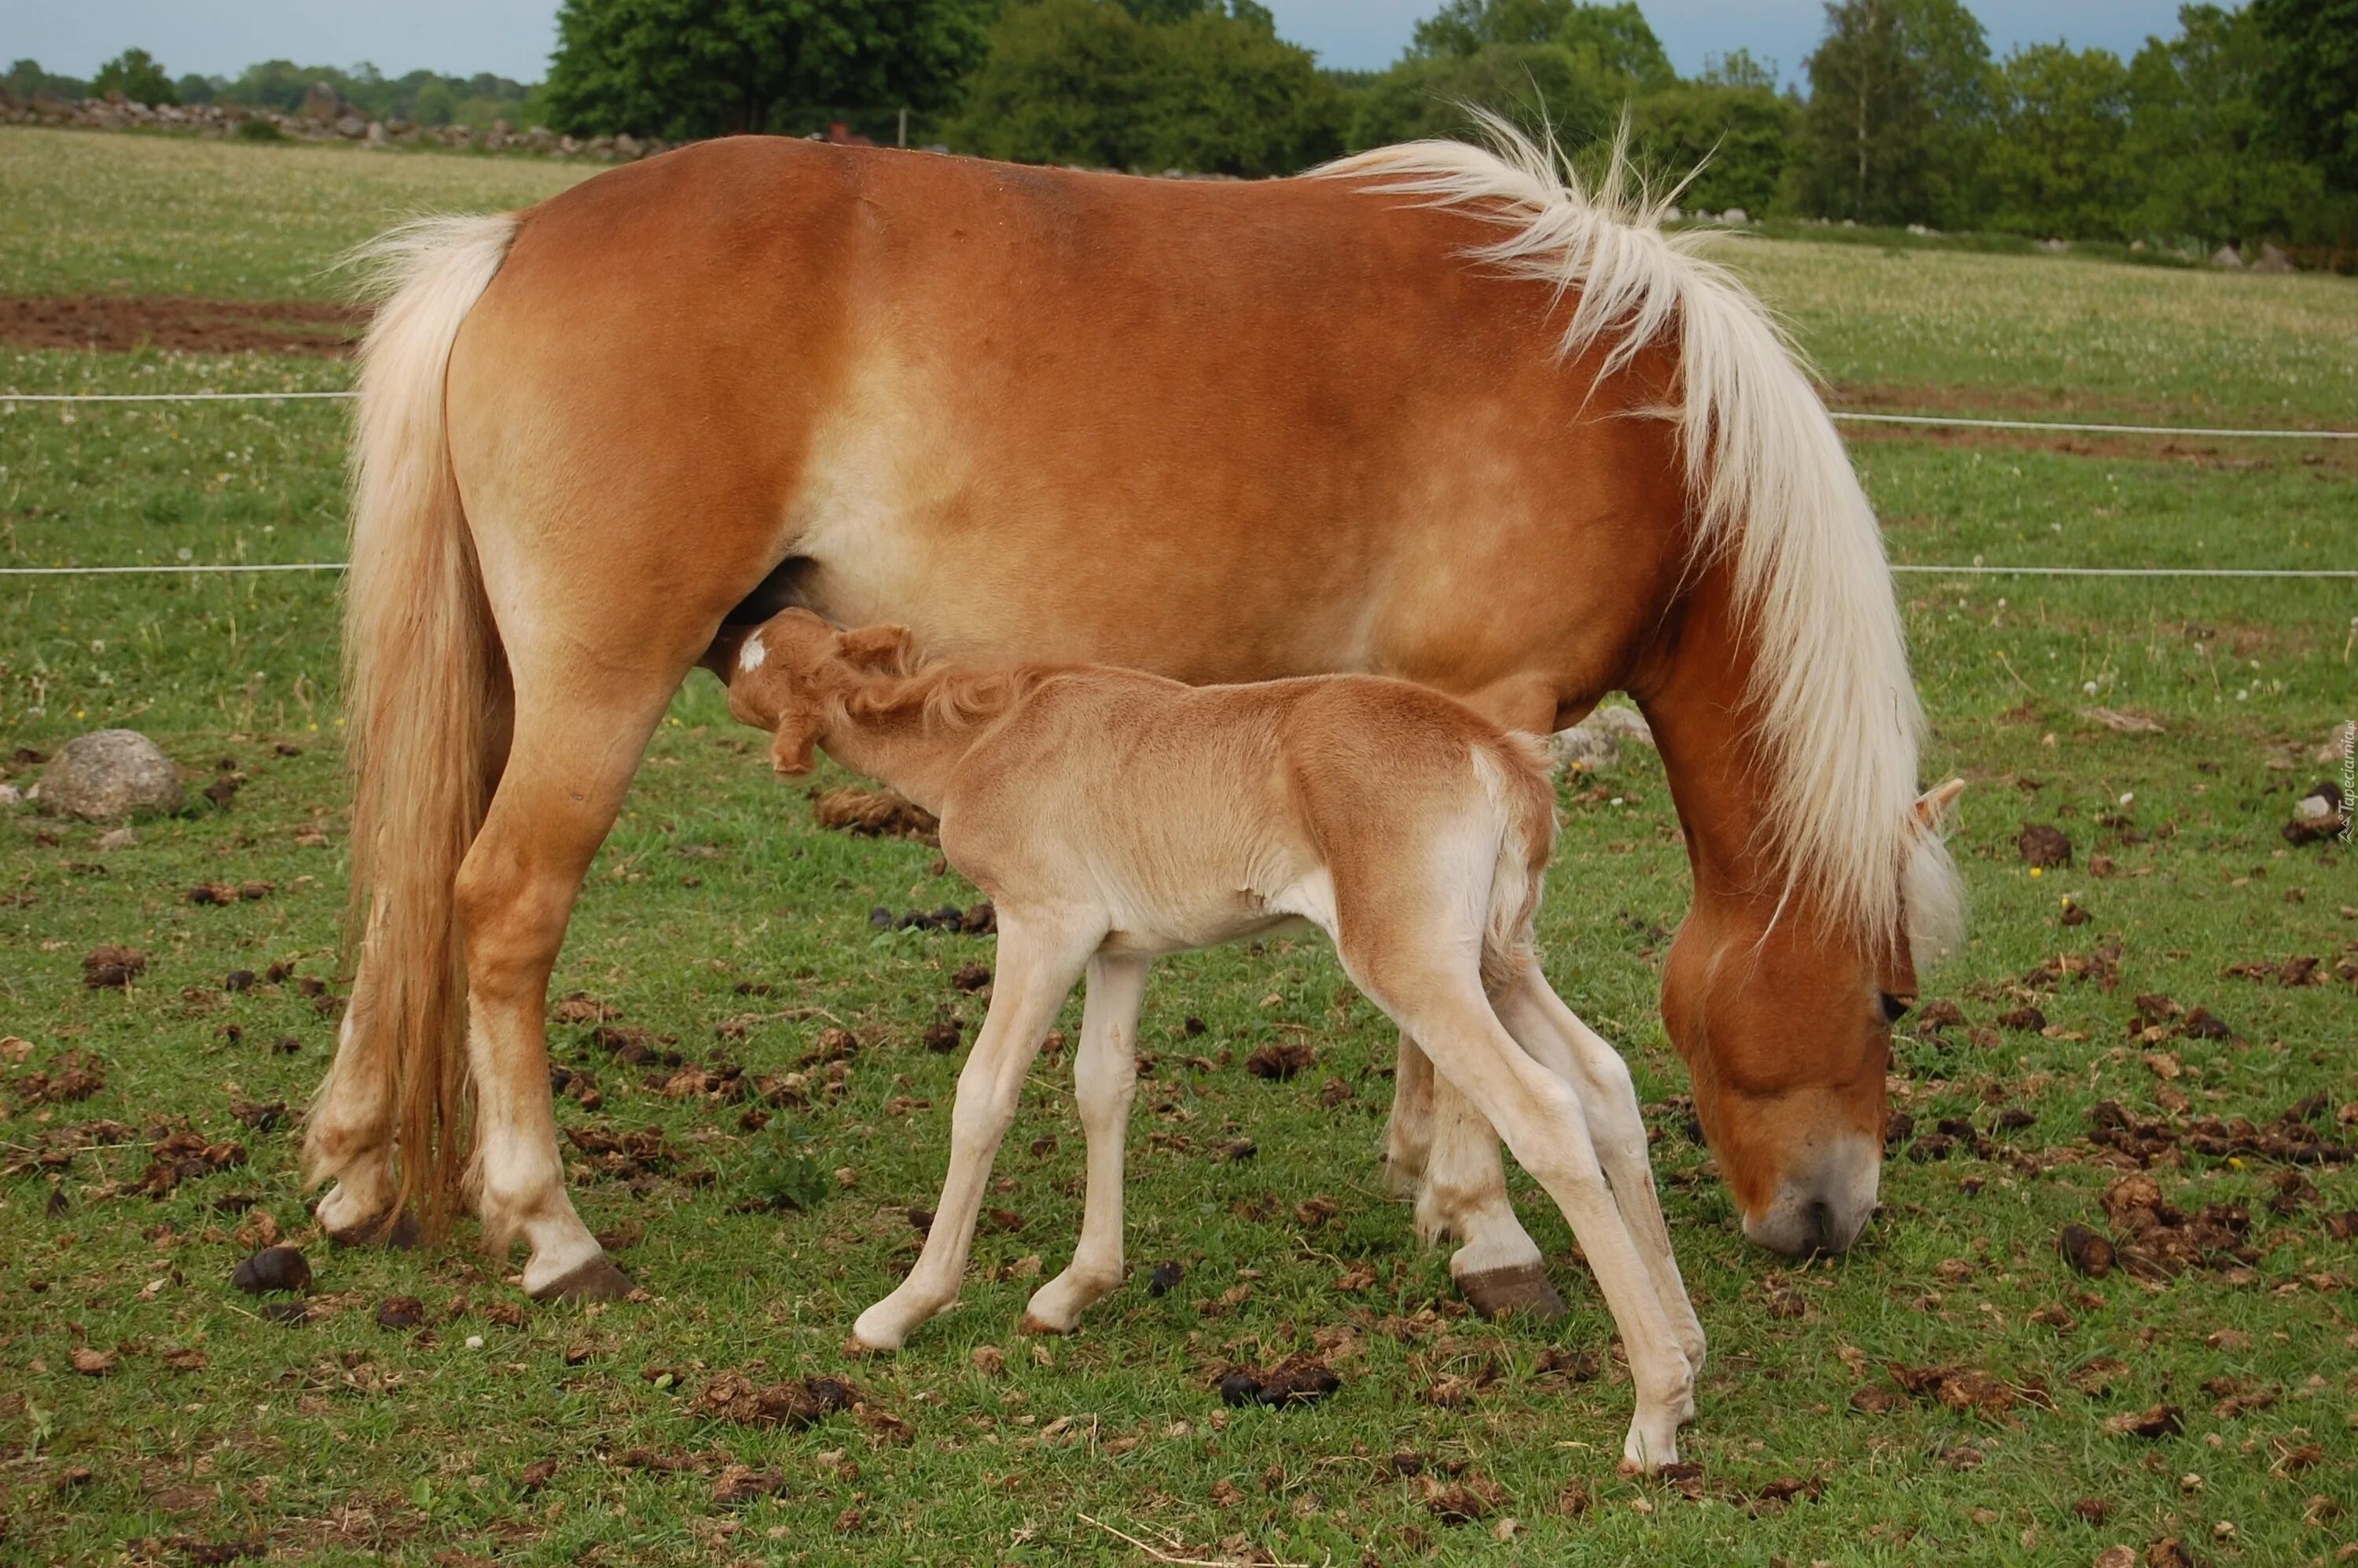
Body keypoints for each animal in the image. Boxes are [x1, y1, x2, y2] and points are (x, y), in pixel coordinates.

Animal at [318, 123, 1971, 1302]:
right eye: (1889, 1000)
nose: (1833, 1219)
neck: (1638, 410)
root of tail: (511, 241)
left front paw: (1422, 1178)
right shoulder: (1482, 707)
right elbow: (1469, 1017)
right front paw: (1486, 1224)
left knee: (410, 895)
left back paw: (355, 1171)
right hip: (597, 690)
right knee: (502, 907)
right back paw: (551, 1232)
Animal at [726, 608, 1707, 1471]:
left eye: (752, 663)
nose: (727, 648)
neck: (986, 734)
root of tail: (1498, 755)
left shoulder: (1046, 922)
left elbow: (985, 1093)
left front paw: (901, 1310)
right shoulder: (1120, 948)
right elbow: (1103, 1087)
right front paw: (1073, 1292)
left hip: (1416, 962)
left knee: (1544, 1110)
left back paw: (1653, 1413)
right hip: (1501, 959)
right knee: (1604, 1081)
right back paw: (1690, 1354)